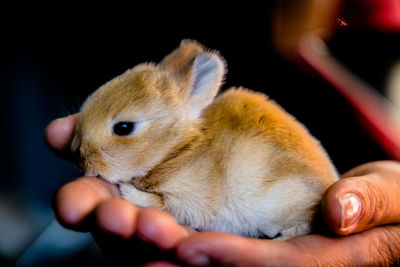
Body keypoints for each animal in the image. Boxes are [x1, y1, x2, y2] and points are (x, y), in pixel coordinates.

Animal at [72, 39, 338, 241]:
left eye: (124, 128)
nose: (80, 155)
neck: (178, 149)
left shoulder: (187, 202)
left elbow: (162, 205)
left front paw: (128, 192)